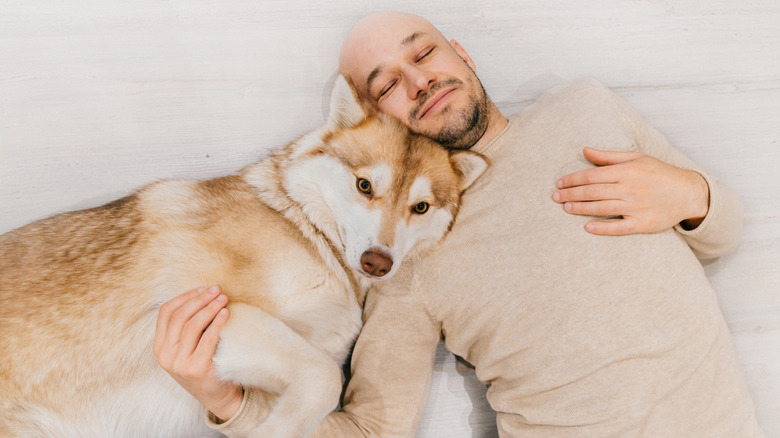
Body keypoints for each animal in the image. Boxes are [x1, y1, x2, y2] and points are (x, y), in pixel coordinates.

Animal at [0, 76, 488, 438]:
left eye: (420, 207)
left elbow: (312, 388)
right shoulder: (215, 314)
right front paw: (279, 430)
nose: (377, 262)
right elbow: (324, 381)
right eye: (364, 186)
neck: (309, 233)